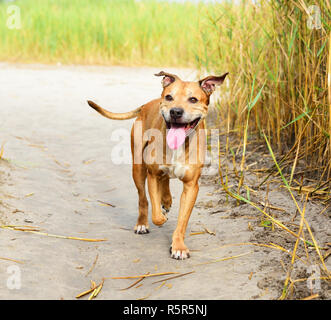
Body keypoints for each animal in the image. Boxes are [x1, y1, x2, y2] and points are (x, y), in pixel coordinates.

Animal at [87, 71, 228, 258]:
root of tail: (146, 105)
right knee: (143, 199)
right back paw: (143, 221)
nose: (175, 111)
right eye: (169, 97)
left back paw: (166, 200)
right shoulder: (152, 175)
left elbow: (182, 221)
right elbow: (156, 213)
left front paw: (178, 246)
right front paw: (161, 216)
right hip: (138, 169)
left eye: (193, 99)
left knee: (165, 181)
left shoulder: (191, 186)